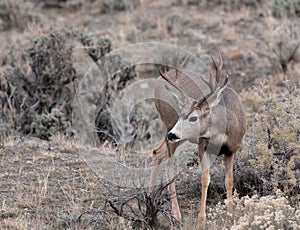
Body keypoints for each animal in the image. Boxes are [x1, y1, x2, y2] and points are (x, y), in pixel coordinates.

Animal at [152, 53, 246, 227]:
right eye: (180, 115)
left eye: (193, 118)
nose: (172, 134)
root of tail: (158, 82)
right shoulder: (203, 145)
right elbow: (205, 178)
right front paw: (201, 220)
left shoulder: (232, 149)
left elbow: (229, 180)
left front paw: (231, 215)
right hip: (169, 125)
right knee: (168, 161)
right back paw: (176, 214)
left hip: (176, 136)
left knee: (156, 152)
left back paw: (151, 196)